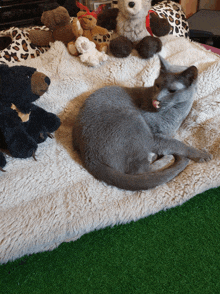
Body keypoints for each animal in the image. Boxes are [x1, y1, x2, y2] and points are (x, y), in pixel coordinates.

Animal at [73, 56, 212, 192]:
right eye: (157, 85)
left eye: (172, 90)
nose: (157, 99)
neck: (177, 113)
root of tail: (89, 157)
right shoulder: (156, 136)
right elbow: (178, 144)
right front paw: (203, 154)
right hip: (134, 121)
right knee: (139, 170)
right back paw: (168, 158)